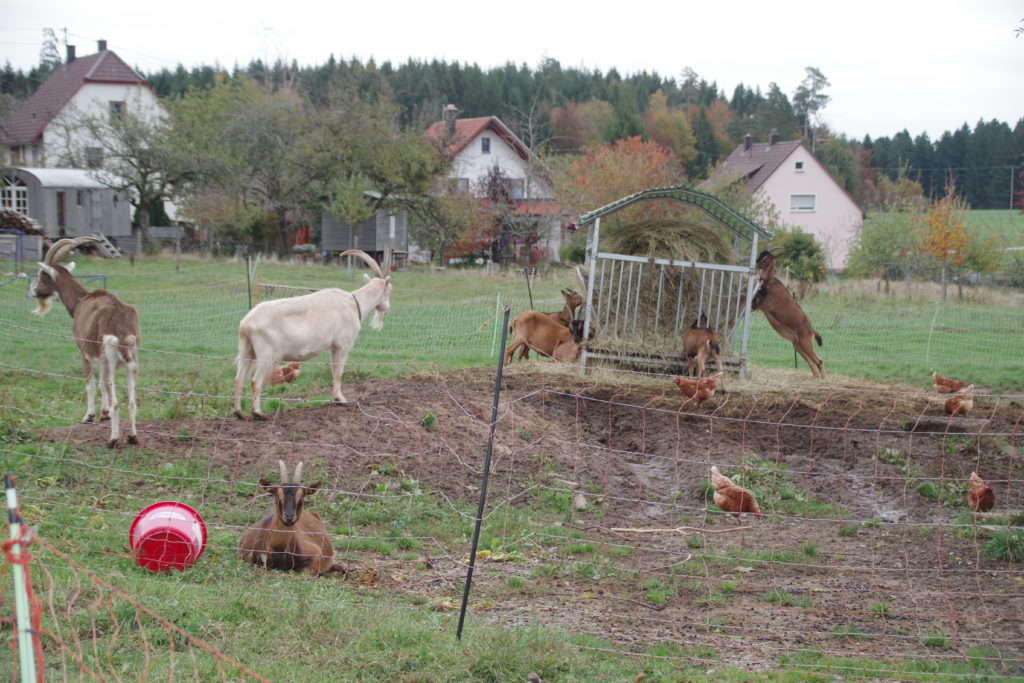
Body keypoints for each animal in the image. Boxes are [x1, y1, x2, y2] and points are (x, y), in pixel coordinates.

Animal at [29, 236, 140, 448]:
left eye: (42, 275)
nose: (33, 292)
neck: (81, 300)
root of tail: (119, 318)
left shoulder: (83, 352)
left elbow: (90, 383)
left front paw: (89, 416)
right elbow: (101, 387)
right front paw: (104, 414)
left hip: (108, 358)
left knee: (115, 400)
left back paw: (113, 440)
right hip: (131, 359)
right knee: (131, 401)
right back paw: (133, 437)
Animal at [233, 249, 391, 419]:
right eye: (389, 290)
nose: (387, 309)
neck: (355, 303)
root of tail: (246, 324)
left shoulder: (333, 347)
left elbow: (334, 371)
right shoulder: (342, 345)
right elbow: (339, 372)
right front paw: (340, 399)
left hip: (247, 349)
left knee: (238, 379)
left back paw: (239, 412)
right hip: (266, 354)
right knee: (256, 381)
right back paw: (258, 413)